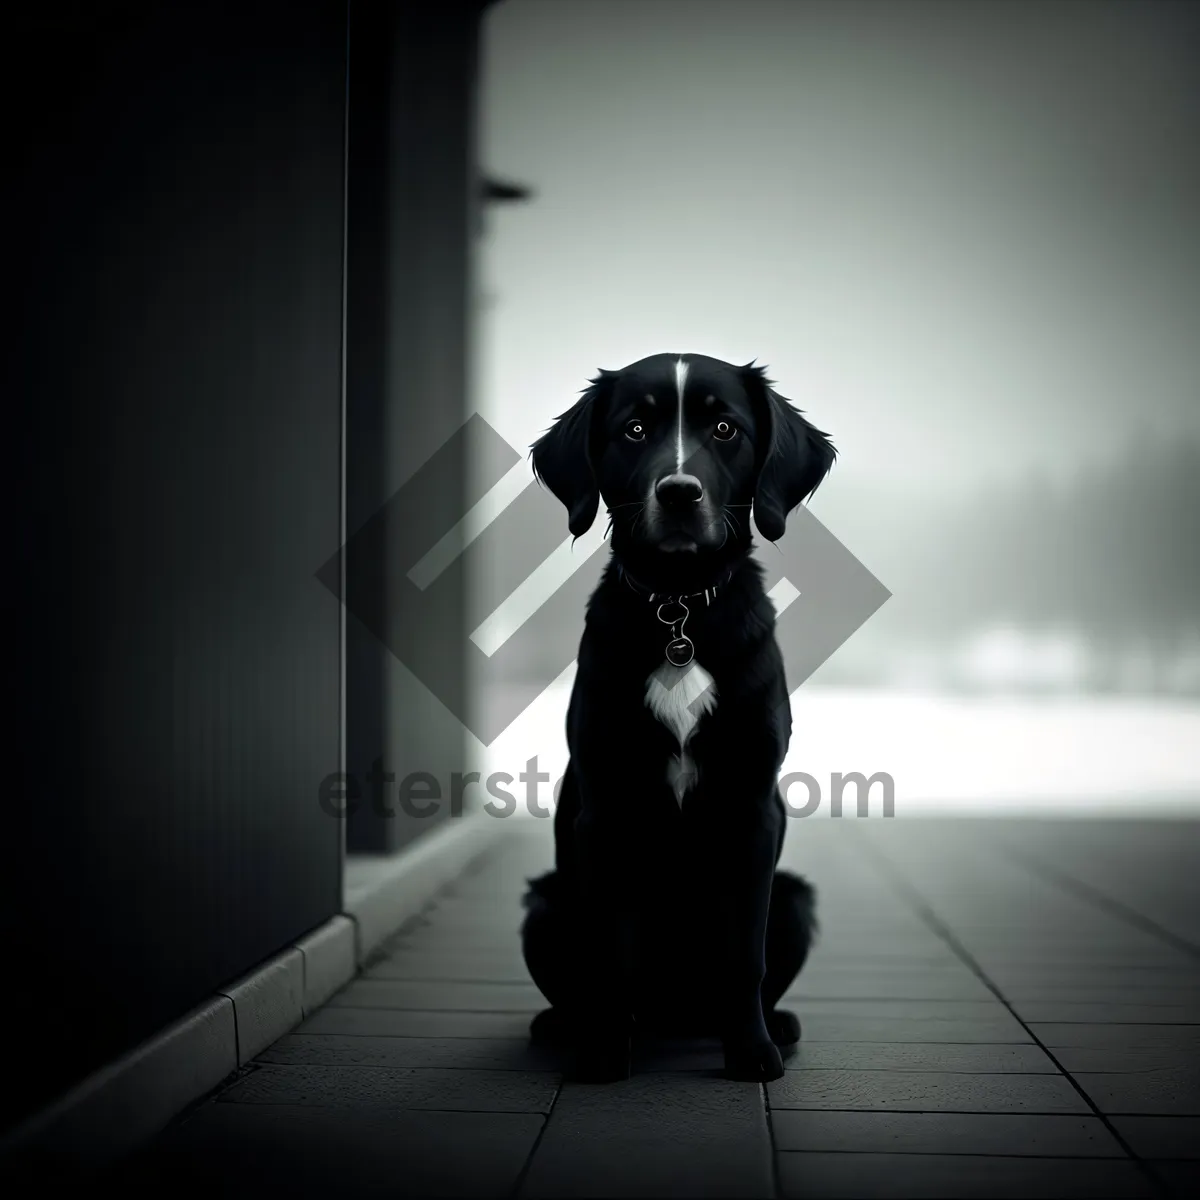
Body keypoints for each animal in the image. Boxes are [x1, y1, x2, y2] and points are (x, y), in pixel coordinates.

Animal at [520, 350, 830, 1084]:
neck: (678, 606)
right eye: (634, 429)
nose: (679, 493)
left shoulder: (752, 810)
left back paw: (772, 1023)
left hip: (793, 896)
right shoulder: (605, 812)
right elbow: (610, 955)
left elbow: (744, 956)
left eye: (725, 427)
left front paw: (751, 1054)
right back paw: (567, 1026)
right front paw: (605, 1053)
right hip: (545, 904)